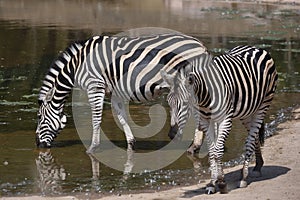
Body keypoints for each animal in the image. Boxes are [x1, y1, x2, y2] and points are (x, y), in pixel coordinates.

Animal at [35, 32, 206, 152]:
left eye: (39, 117)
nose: (38, 144)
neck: (76, 65)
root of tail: (200, 44)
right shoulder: (114, 92)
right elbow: (121, 116)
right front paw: (131, 143)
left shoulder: (95, 86)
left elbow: (96, 118)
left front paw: (93, 147)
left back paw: (195, 146)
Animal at [161, 45, 278, 194]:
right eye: (169, 102)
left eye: (186, 103)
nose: (172, 134)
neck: (205, 95)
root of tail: (255, 48)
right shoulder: (206, 120)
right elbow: (212, 151)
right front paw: (212, 183)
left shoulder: (225, 120)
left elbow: (218, 150)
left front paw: (221, 182)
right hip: (246, 112)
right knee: (255, 135)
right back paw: (257, 166)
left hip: (263, 106)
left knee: (250, 140)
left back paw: (244, 178)